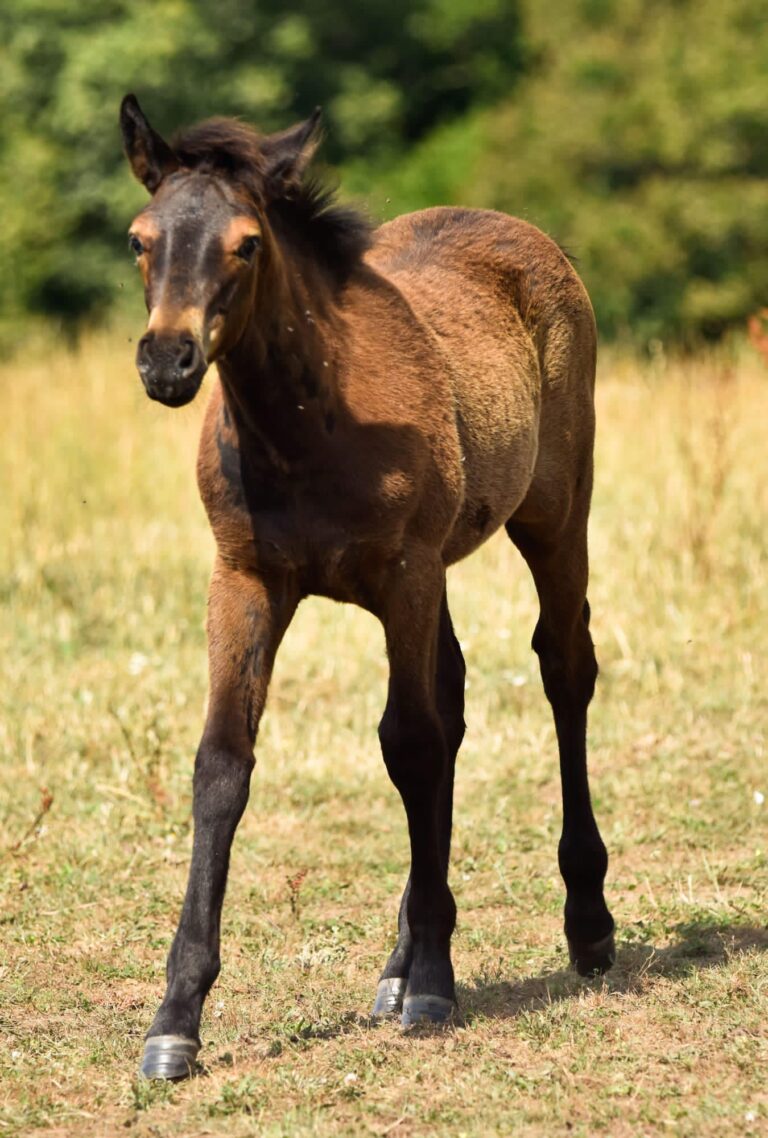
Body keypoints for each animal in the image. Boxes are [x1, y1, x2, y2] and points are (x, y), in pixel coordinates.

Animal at [118, 93, 614, 1078]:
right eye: (140, 238)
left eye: (247, 244)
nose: (168, 362)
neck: (307, 425)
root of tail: (526, 235)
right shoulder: (244, 579)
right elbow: (223, 763)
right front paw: (175, 1019)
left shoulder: (402, 574)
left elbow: (409, 743)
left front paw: (434, 986)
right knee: (455, 698)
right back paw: (402, 958)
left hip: (553, 514)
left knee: (562, 668)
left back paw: (584, 926)